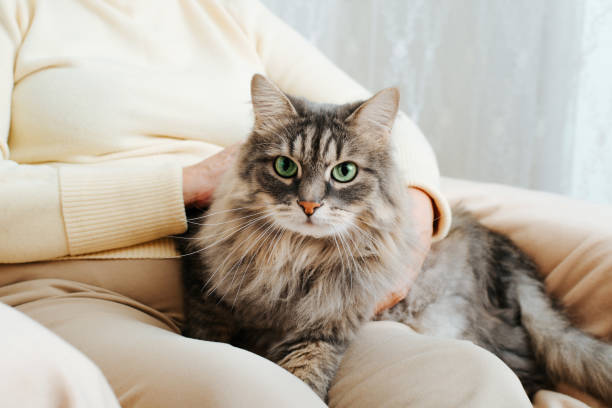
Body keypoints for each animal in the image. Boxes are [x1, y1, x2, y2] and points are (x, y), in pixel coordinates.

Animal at [180, 74, 612, 404]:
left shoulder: (324, 326)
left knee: (527, 373)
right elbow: (207, 336)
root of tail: (504, 251)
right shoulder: (206, 295)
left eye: (344, 172)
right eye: (285, 167)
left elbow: (303, 375)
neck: (296, 254)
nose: (309, 205)